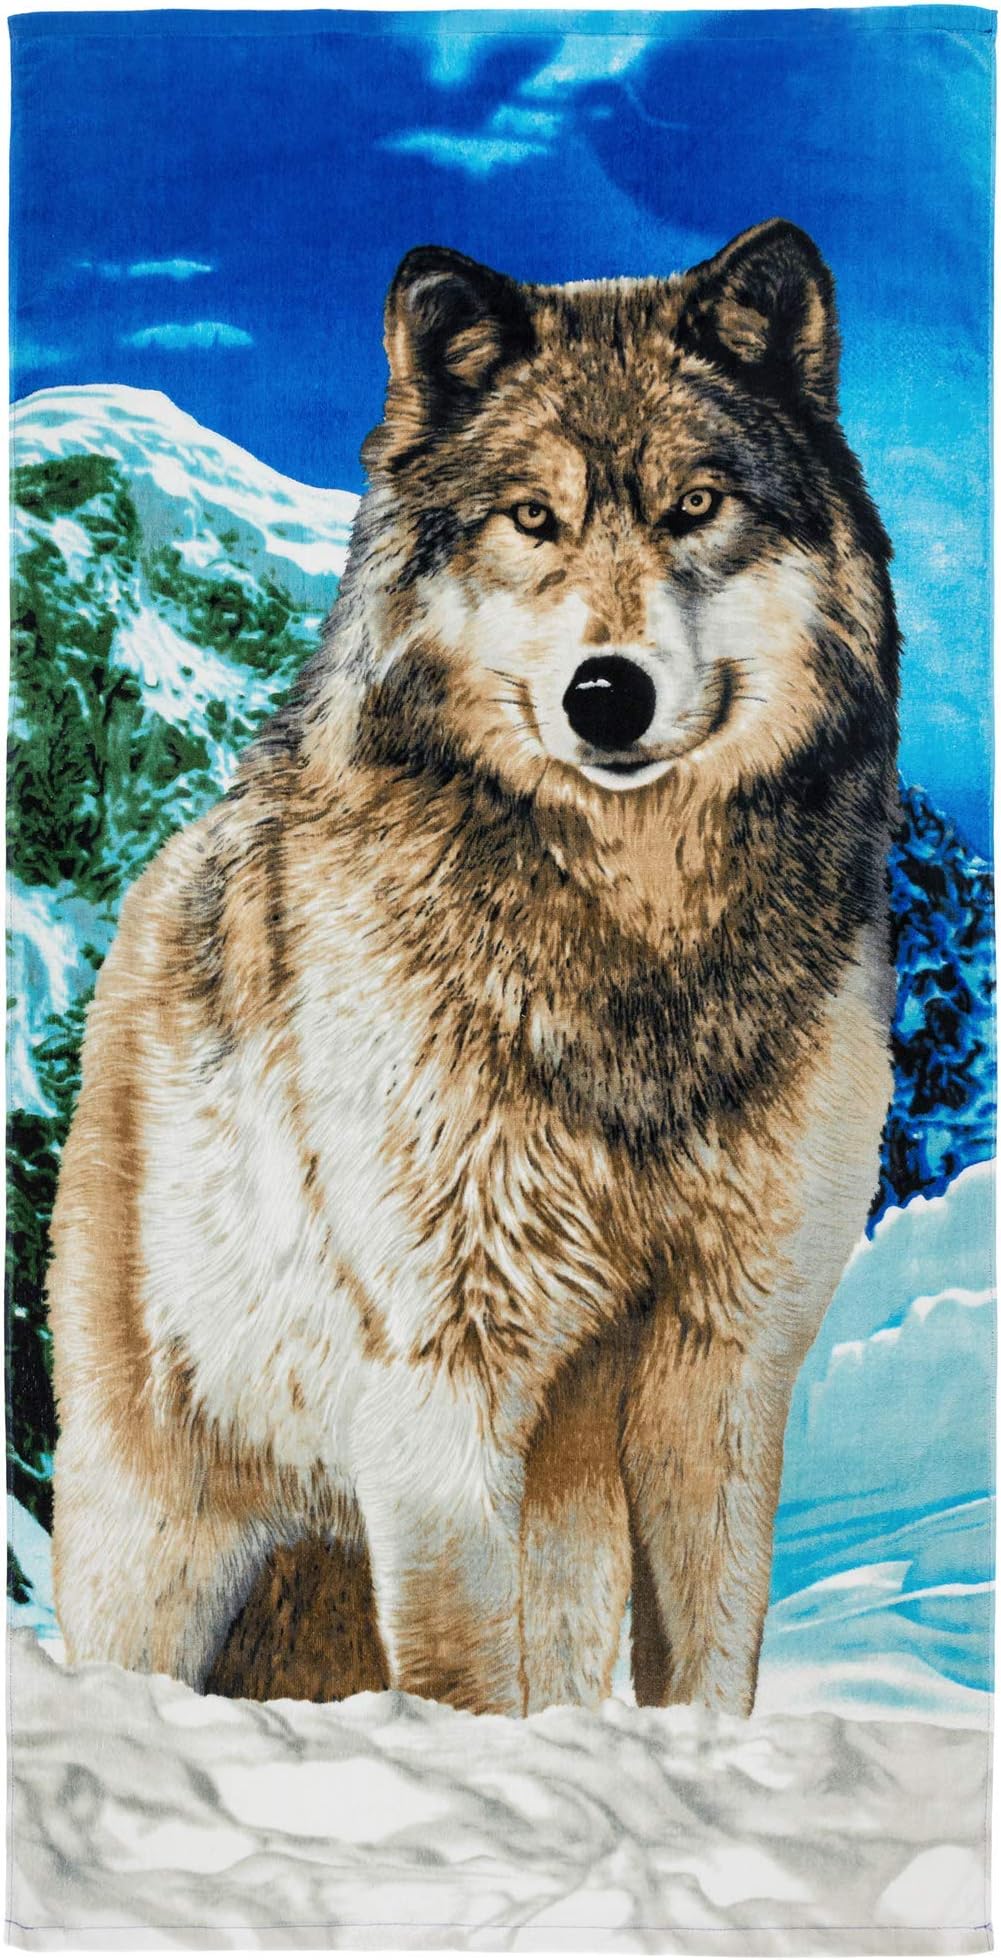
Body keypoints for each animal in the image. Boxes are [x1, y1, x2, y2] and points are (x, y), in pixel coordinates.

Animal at [49, 220, 898, 1717]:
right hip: (156, 1548)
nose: (605, 694)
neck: (629, 956)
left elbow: (706, 1668)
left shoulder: (721, 1372)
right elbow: (454, 1681)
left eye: (694, 505)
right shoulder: (440, 1375)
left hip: (560, 1487)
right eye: (530, 519)